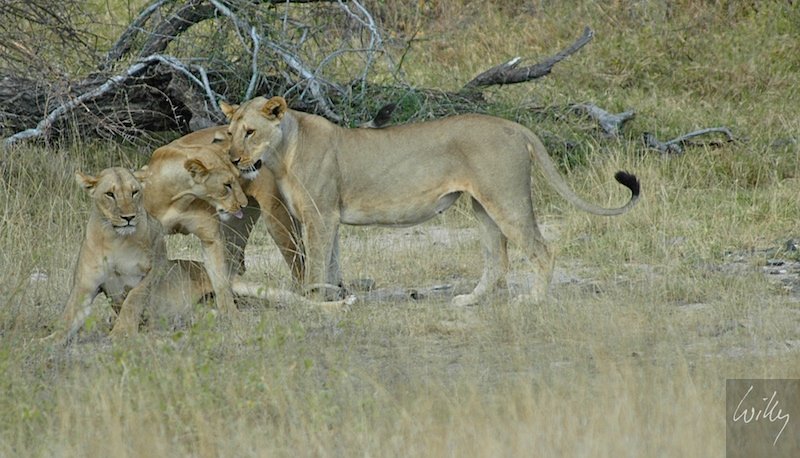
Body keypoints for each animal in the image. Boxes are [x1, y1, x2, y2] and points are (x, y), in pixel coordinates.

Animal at [50, 167, 353, 345]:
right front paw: (48, 340)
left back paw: (341, 304)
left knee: (298, 301)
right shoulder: (84, 288)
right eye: (110, 194)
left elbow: (134, 297)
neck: (116, 239)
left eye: (135, 192)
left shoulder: (156, 267)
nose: (128, 217)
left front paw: (122, 331)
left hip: (241, 284)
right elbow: (67, 318)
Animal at [220, 96, 641, 306]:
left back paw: (533, 300)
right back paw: (469, 300)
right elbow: (333, 263)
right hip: (483, 207)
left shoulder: (319, 215)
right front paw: (334, 297)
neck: (282, 153)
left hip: (507, 200)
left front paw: (315, 301)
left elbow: (317, 265)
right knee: (498, 260)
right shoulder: (329, 218)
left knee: (542, 250)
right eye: (229, 132)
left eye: (250, 132)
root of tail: (513, 125)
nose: (233, 160)